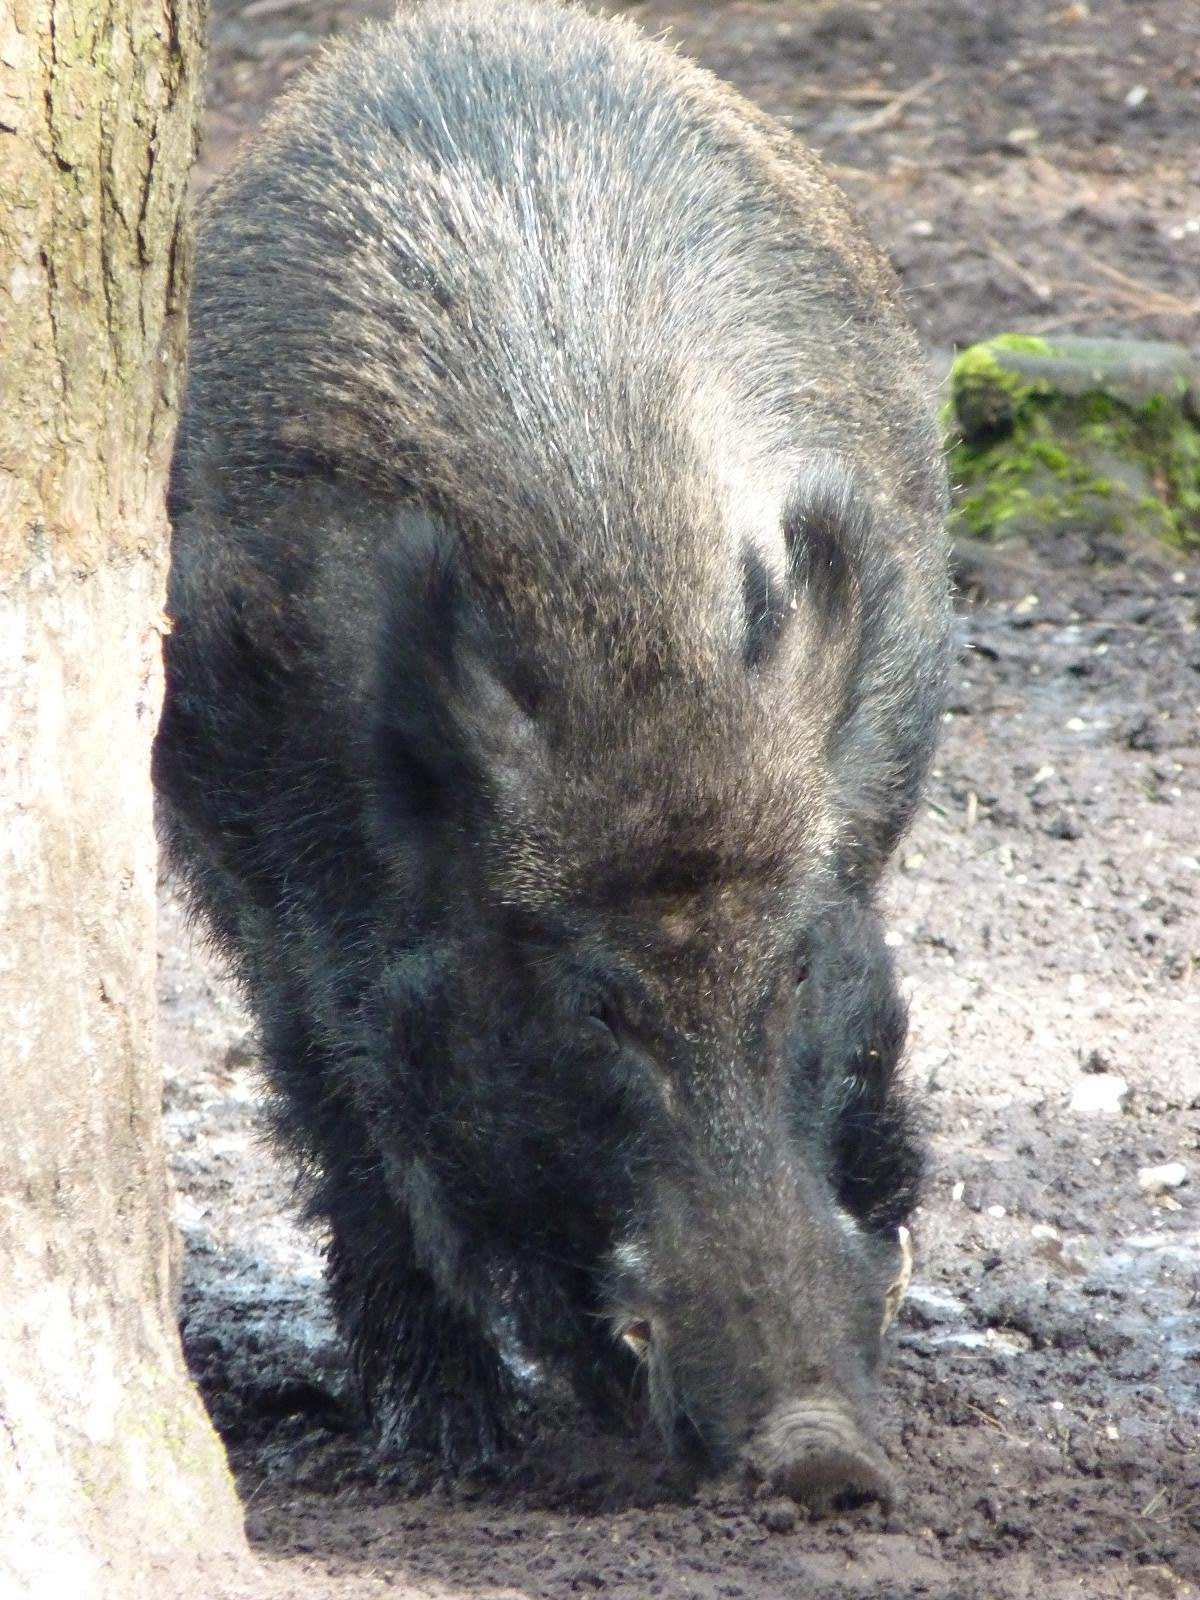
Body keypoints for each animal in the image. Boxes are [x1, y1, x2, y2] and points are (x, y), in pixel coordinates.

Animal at [154, 0, 950, 1511]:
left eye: (795, 970)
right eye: (593, 1008)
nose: (820, 1453)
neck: (629, 635)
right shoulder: (284, 890)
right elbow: (364, 1132)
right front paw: (452, 1445)